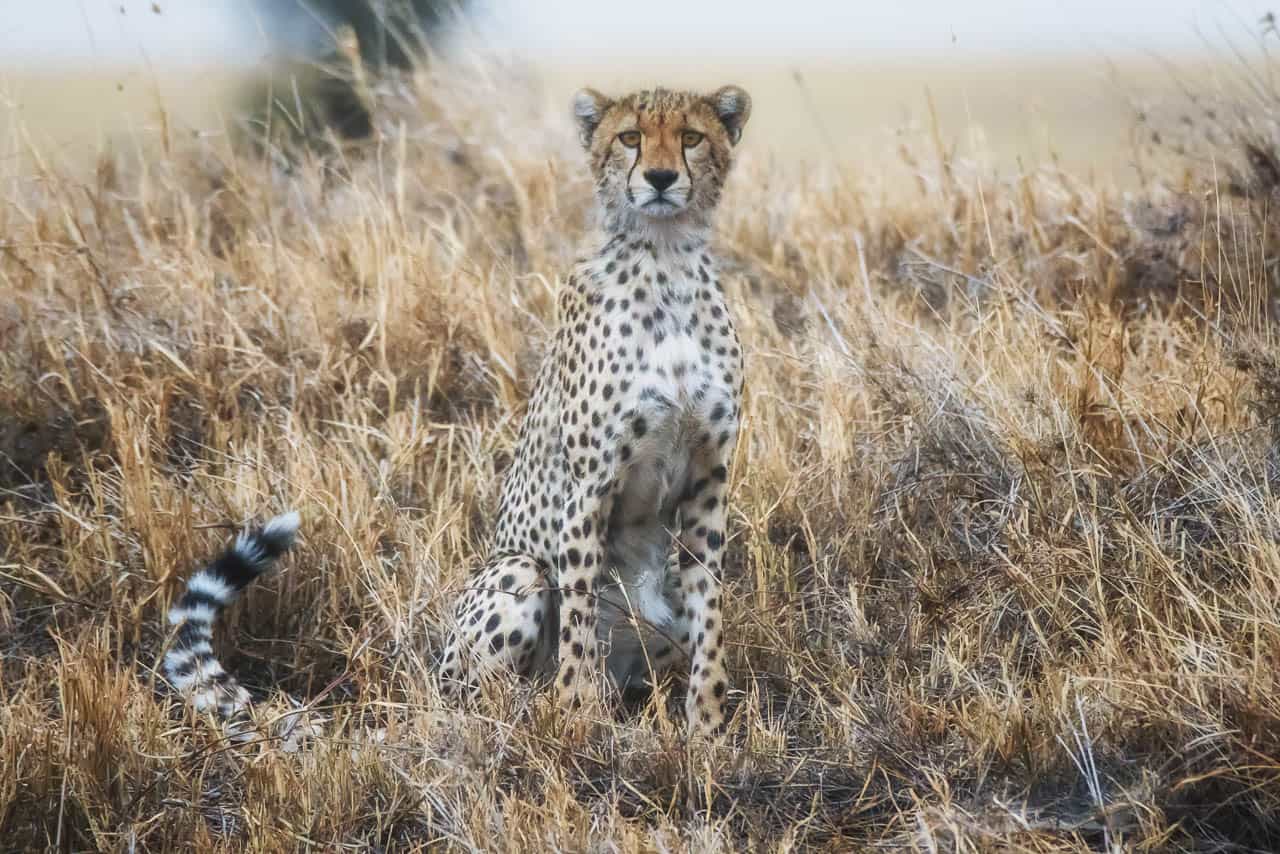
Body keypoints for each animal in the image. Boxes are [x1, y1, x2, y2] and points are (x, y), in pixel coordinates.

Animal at [440, 85, 747, 737]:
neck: (666, 260)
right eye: (630, 137)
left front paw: (708, 725)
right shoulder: (590, 482)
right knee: (475, 694)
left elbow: (711, 607)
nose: (660, 177)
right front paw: (574, 716)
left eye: (691, 137)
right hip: (516, 575)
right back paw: (535, 705)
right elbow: (578, 609)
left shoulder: (709, 477)